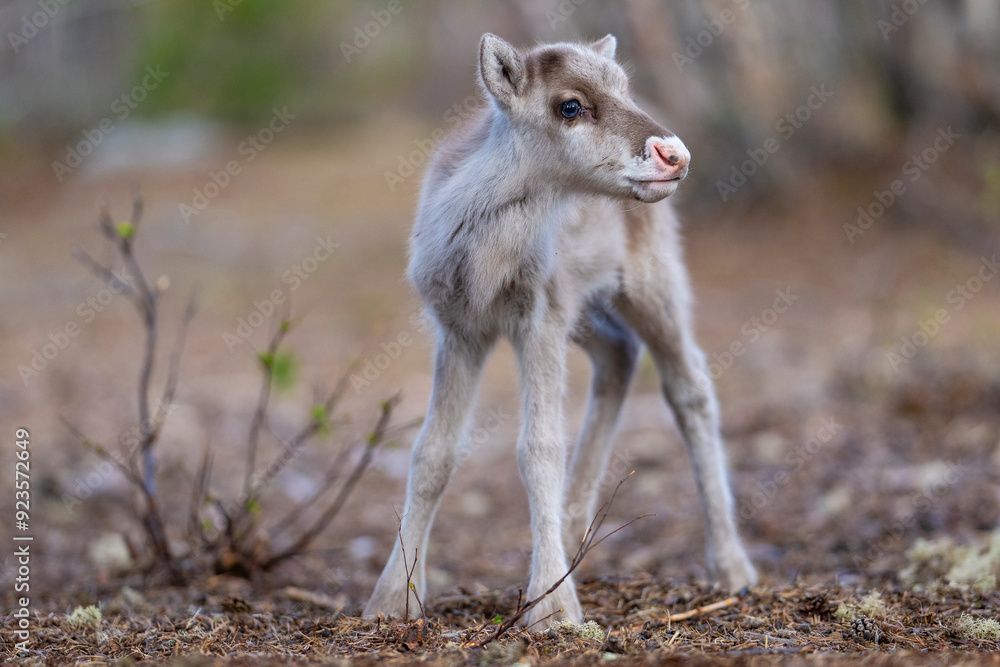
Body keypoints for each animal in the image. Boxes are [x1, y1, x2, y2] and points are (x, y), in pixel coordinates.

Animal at [364, 33, 757, 628]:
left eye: (624, 87)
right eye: (570, 106)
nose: (675, 154)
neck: (485, 263)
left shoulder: (541, 317)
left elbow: (539, 449)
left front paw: (551, 609)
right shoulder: (458, 327)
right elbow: (432, 453)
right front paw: (392, 601)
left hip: (650, 277)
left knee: (689, 384)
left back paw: (731, 566)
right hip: (586, 309)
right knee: (620, 354)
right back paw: (573, 536)